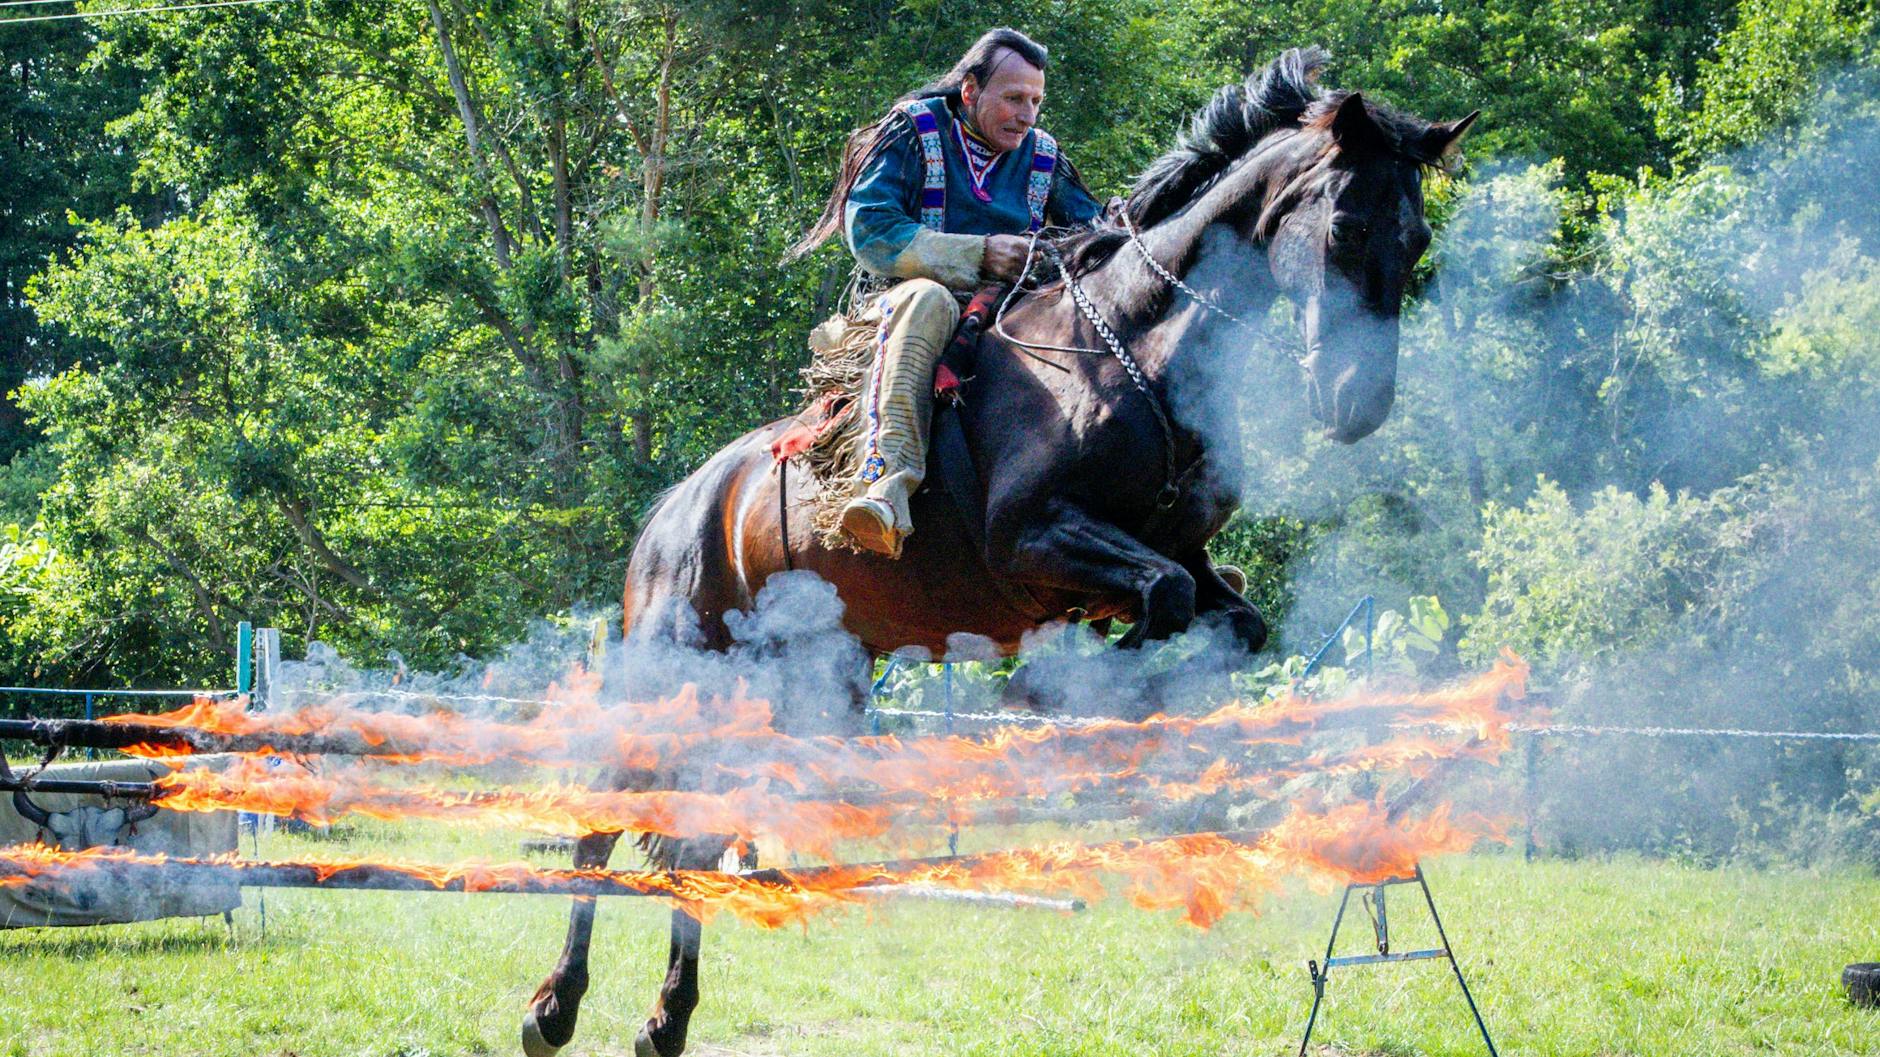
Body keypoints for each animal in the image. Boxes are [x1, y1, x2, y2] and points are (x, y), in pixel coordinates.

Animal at [520, 46, 1477, 1057]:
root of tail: (675, 511)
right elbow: (1161, 597)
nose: (1358, 403)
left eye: (1417, 239)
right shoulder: (1032, 540)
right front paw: (1046, 689)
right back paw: (553, 1006)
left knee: (698, 841)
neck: (1132, 351)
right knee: (600, 825)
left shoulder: (1178, 558)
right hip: (669, 673)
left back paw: (665, 1018)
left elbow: (1220, 615)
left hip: (789, 690)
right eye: (1348, 221)